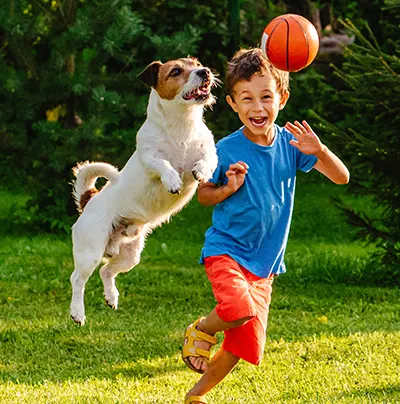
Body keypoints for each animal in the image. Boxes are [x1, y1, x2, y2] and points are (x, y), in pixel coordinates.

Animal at [70, 56, 217, 326]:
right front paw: (172, 180)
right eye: (176, 71)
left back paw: (111, 297)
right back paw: (77, 313)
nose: (205, 71)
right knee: (77, 279)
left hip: (130, 255)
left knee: (107, 271)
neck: (182, 125)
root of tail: (89, 201)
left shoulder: (209, 151)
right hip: (90, 251)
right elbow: (163, 165)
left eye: (196, 63)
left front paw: (201, 171)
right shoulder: (149, 158)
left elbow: (207, 160)